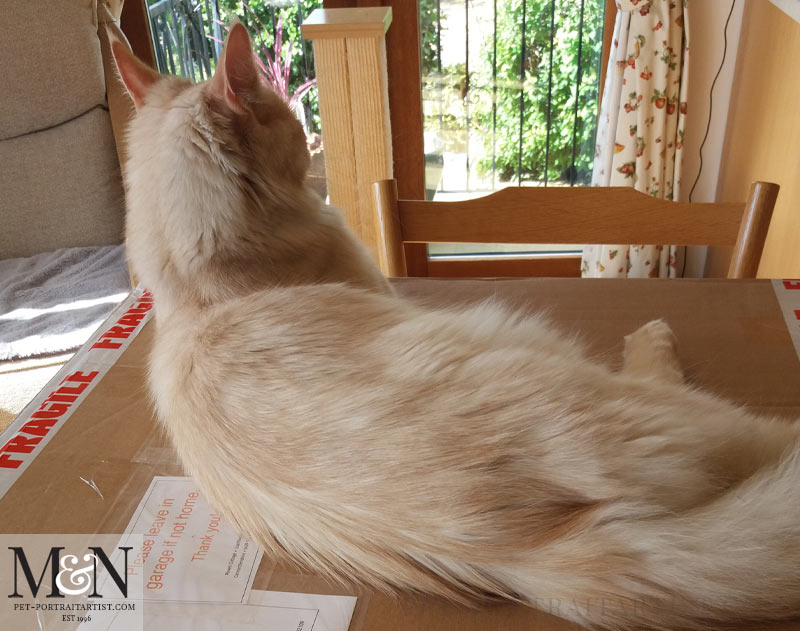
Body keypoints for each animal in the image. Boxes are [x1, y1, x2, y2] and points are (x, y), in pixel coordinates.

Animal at [112, 22, 800, 628]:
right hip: (630, 390)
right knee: (714, 403)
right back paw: (657, 341)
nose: (307, 137)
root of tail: (533, 548)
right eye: (288, 116)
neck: (202, 289)